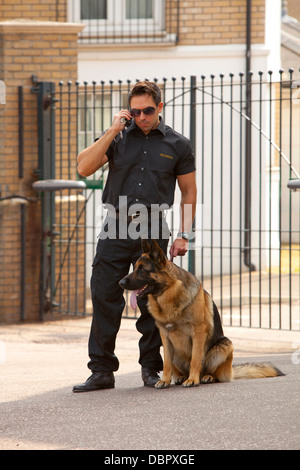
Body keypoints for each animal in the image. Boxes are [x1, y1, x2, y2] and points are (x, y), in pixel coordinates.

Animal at [119, 241, 284, 388]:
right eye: (135, 268)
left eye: (142, 269)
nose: (120, 283)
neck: (170, 294)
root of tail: (230, 372)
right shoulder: (165, 337)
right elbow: (167, 363)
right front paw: (165, 380)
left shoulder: (198, 333)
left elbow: (195, 359)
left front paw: (193, 380)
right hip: (177, 352)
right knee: (176, 367)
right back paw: (180, 377)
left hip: (224, 346)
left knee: (214, 373)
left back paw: (206, 377)